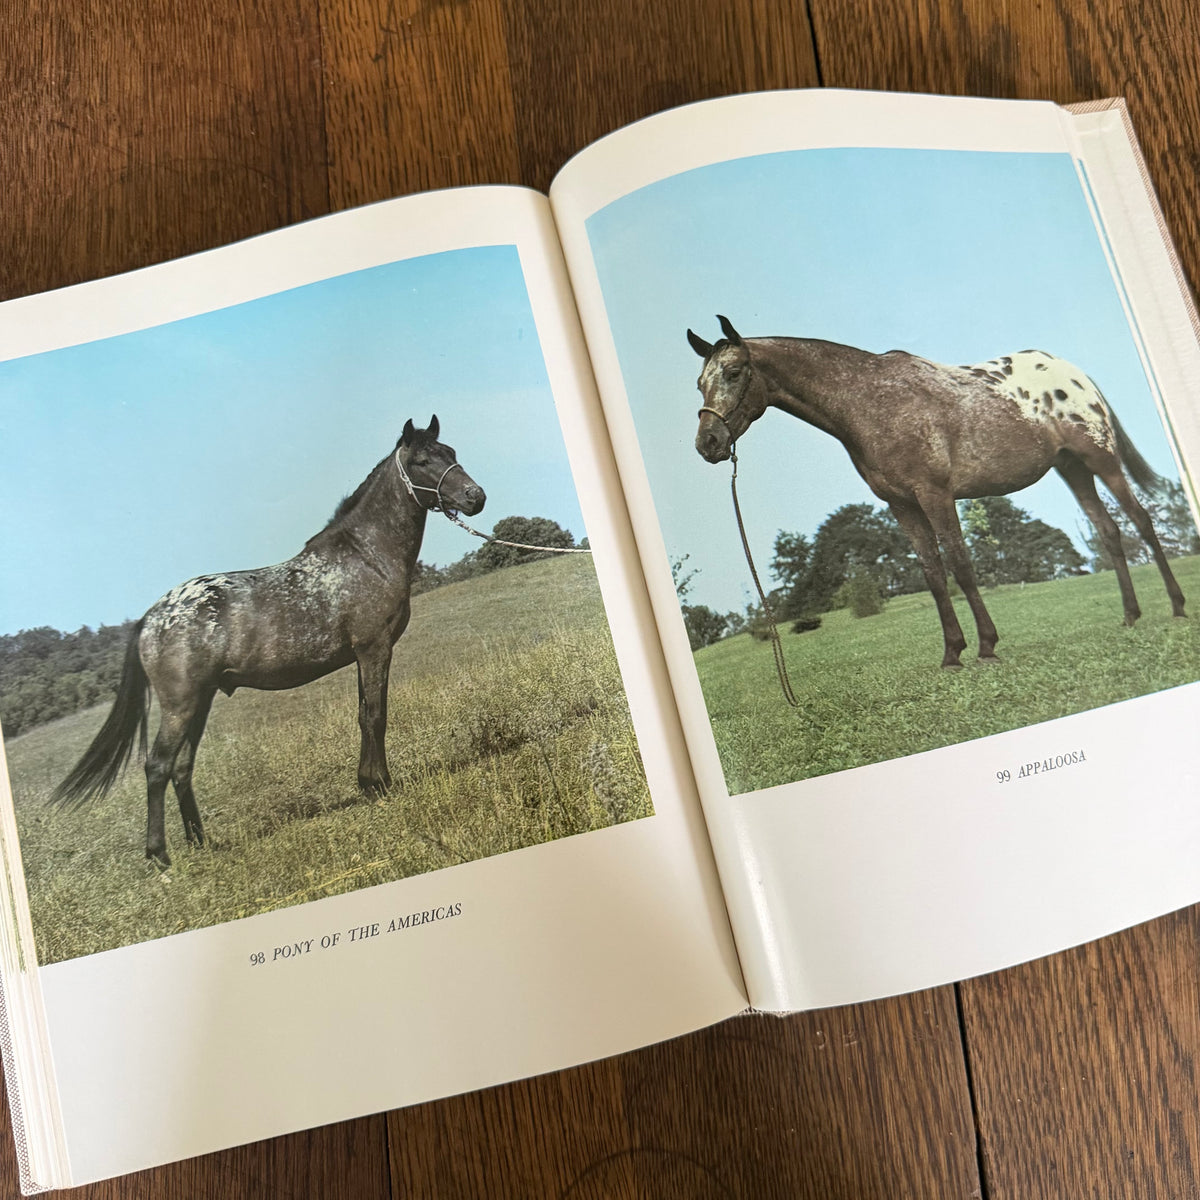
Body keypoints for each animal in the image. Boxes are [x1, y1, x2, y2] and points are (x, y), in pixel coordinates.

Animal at [52, 416, 485, 865]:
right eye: (421, 461)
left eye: (450, 453)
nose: (476, 497)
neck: (366, 557)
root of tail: (151, 617)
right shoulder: (374, 649)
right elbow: (375, 716)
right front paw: (380, 784)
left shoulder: (363, 655)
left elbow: (363, 715)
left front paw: (368, 783)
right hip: (180, 704)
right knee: (157, 766)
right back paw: (159, 855)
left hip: (200, 701)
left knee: (181, 766)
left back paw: (201, 842)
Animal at [687, 316, 1187, 669]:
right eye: (700, 382)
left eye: (734, 372)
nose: (708, 444)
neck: (868, 400)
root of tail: (1072, 372)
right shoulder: (902, 505)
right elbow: (932, 574)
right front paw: (951, 653)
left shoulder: (935, 495)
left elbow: (961, 566)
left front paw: (986, 646)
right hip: (1073, 469)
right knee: (1109, 531)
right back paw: (1130, 615)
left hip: (1101, 461)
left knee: (1141, 521)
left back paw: (1178, 607)